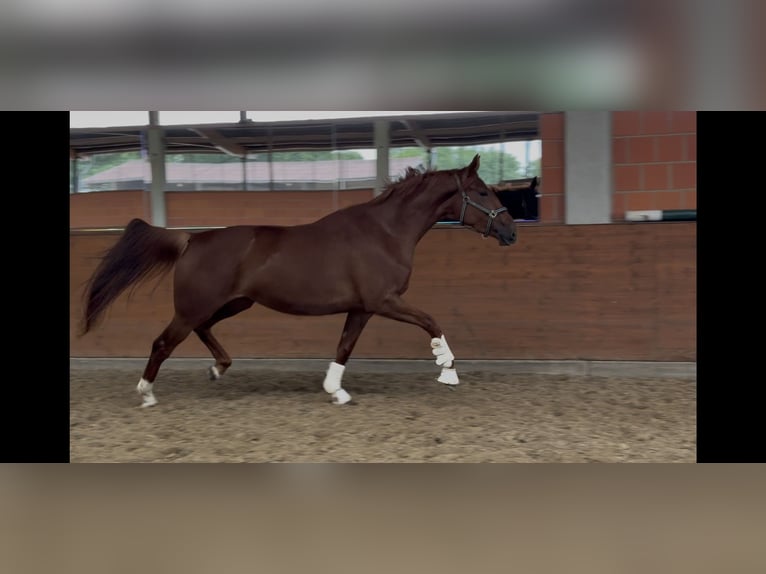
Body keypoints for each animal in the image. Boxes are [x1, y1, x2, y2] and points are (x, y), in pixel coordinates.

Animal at [80, 154, 517, 407]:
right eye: (482, 192)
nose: (511, 231)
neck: (385, 232)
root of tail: (193, 238)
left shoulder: (362, 308)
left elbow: (344, 347)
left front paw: (336, 390)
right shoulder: (385, 301)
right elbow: (431, 321)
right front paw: (448, 369)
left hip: (232, 303)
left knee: (201, 331)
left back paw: (217, 370)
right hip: (195, 307)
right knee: (162, 343)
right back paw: (146, 394)